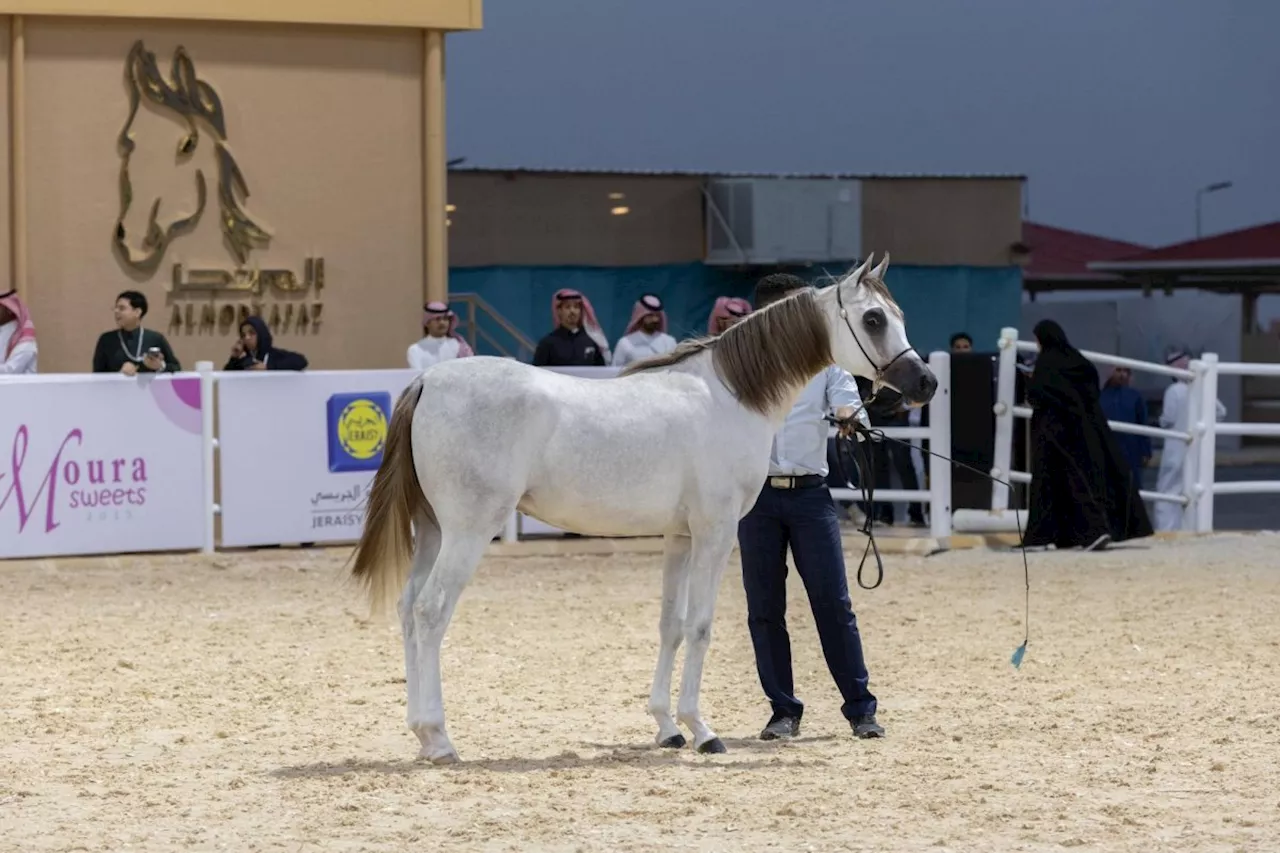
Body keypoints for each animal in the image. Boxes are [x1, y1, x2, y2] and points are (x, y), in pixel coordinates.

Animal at [350, 251, 931, 758]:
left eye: (900, 315)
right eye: (874, 318)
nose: (925, 382)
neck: (729, 395)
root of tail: (429, 380)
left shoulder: (680, 537)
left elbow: (670, 625)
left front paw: (667, 727)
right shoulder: (716, 533)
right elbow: (700, 626)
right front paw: (703, 732)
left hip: (432, 531)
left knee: (407, 608)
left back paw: (422, 734)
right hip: (468, 532)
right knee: (430, 612)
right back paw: (440, 738)